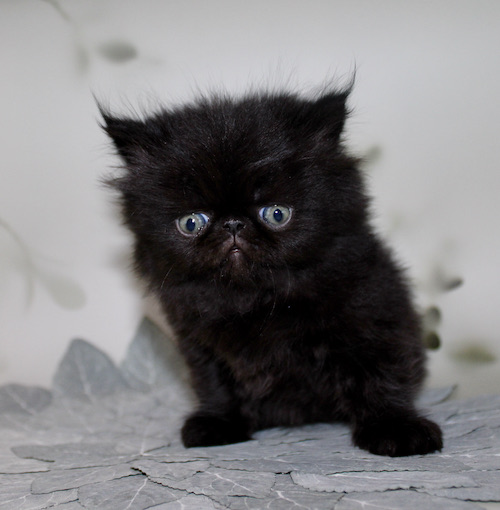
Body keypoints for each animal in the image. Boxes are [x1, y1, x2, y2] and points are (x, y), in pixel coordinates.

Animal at [101, 87, 443, 456]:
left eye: (276, 214)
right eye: (191, 223)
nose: (233, 224)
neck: (257, 301)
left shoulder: (374, 312)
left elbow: (379, 374)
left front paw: (395, 427)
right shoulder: (200, 342)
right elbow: (216, 384)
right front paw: (219, 423)